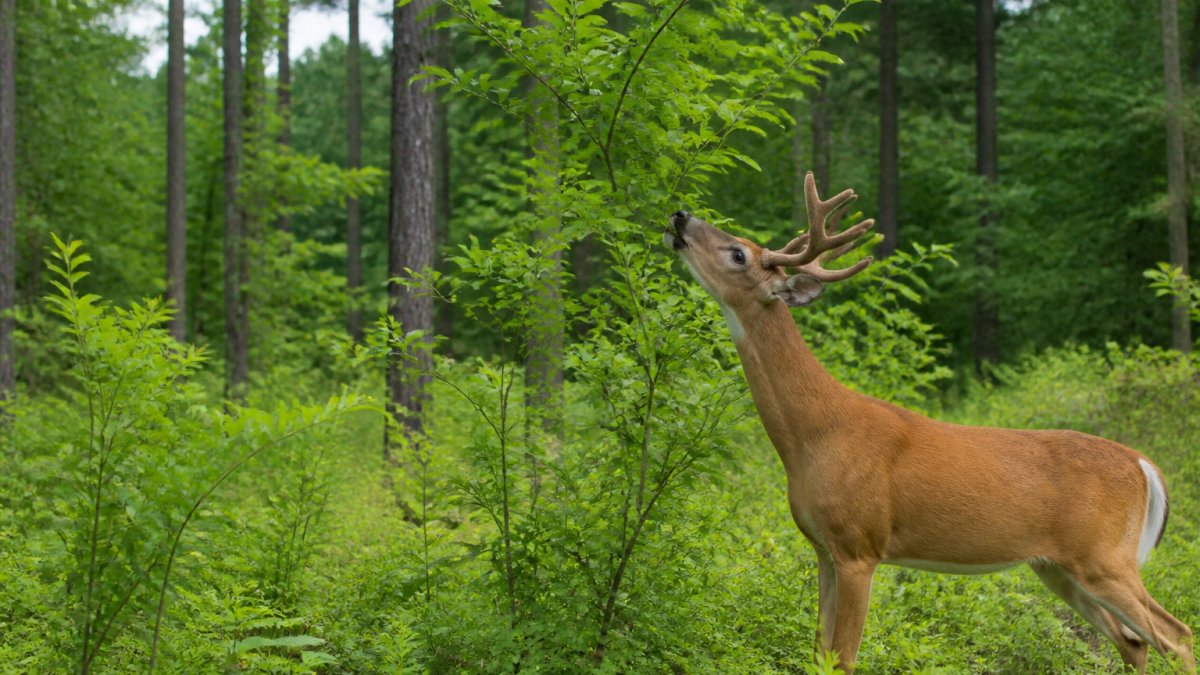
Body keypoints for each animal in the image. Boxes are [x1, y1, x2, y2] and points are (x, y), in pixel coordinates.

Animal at [663, 172, 1195, 674]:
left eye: (738, 254)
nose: (680, 216)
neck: (815, 435)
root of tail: (1146, 466)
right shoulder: (823, 549)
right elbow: (819, 655)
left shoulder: (860, 545)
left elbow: (844, 658)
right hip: (1059, 569)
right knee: (1133, 641)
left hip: (1104, 558)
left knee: (1177, 636)